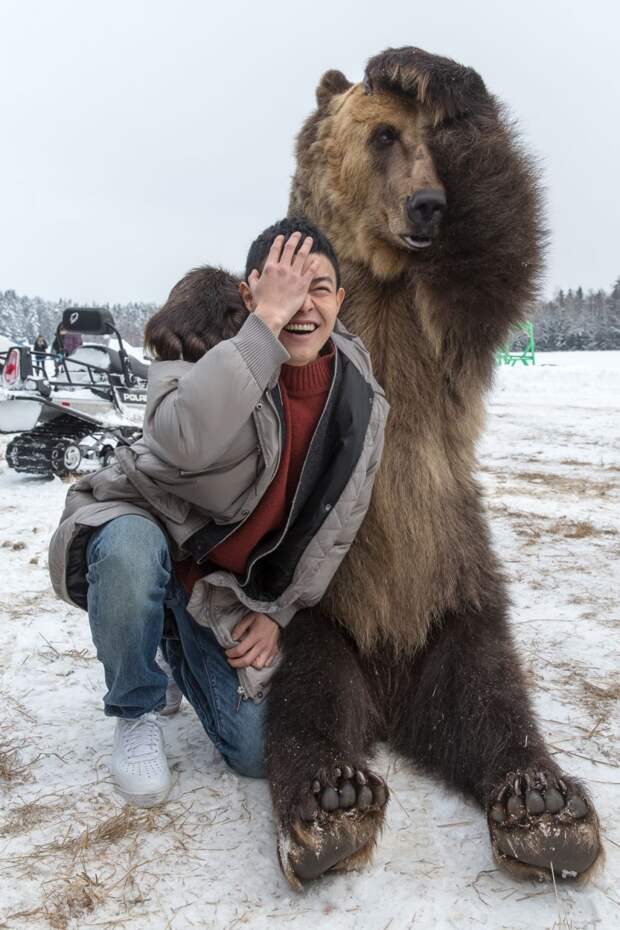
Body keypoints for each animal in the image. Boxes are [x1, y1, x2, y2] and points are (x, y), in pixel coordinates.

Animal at [264, 47, 604, 888]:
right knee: (308, 701)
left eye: (432, 146)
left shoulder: (443, 329)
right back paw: (331, 800)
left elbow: (502, 240)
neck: (381, 279)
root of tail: (390, 695)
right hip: (326, 611)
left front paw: (419, 65)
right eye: (384, 134)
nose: (427, 207)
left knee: (491, 702)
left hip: (460, 591)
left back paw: (543, 806)